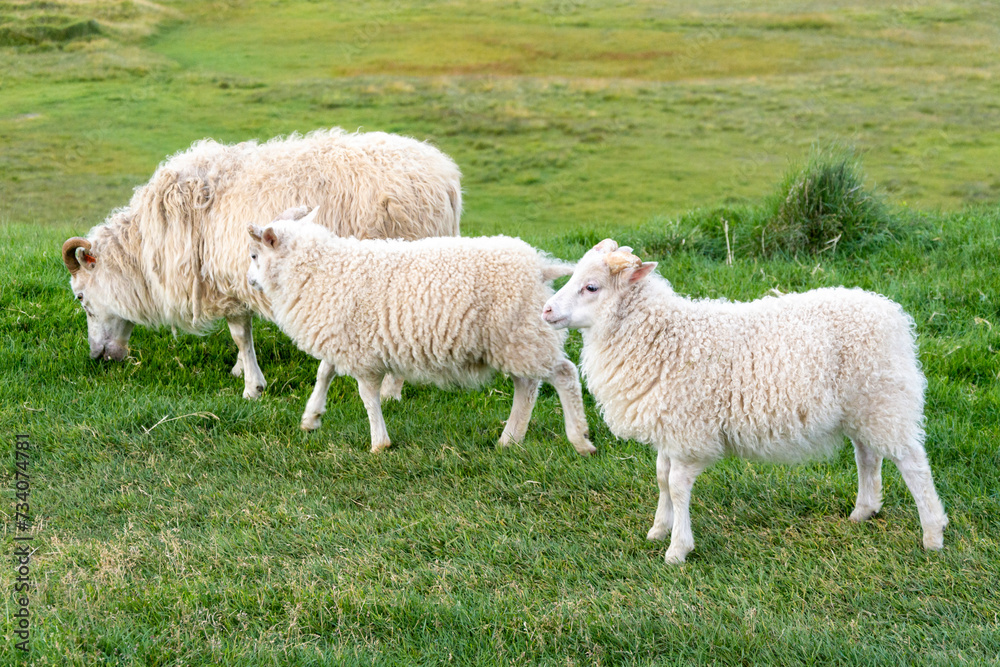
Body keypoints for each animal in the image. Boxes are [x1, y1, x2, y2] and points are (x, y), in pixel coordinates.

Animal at [64, 128, 462, 400]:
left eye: (81, 298)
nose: (98, 357)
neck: (148, 245)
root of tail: (446, 178)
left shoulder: (228, 280)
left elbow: (240, 334)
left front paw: (252, 386)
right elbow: (246, 334)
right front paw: (240, 370)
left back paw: (392, 391)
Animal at [247, 214, 596, 460]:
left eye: (253, 255)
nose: (250, 281)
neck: (319, 269)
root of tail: (539, 265)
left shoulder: (361, 351)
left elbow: (367, 397)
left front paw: (379, 443)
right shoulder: (346, 339)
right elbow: (324, 372)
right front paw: (311, 417)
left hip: (521, 335)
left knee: (563, 375)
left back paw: (579, 439)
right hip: (518, 338)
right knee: (527, 386)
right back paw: (510, 439)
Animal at [544, 240, 948, 564]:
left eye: (591, 287)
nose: (545, 310)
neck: (662, 335)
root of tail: (891, 313)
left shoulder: (689, 432)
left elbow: (677, 485)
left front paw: (677, 549)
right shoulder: (671, 427)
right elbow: (661, 478)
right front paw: (659, 529)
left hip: (884, 400)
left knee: (913, 464)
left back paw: (933, 533)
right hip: (862, 407)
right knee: (867, 456)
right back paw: (863, 511)